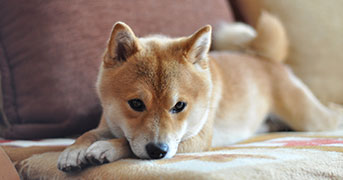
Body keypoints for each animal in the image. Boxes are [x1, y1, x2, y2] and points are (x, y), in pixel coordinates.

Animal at [55, 11, 342, 172]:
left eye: (179, 106)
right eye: (136, 104)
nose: (157, 151)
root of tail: (265, 58)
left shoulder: (196, 139)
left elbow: (126, 142)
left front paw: (107, 148)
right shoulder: (108, 124)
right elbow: (88, 134)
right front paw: (73, 150)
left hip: (309, 118)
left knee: (332, 113)